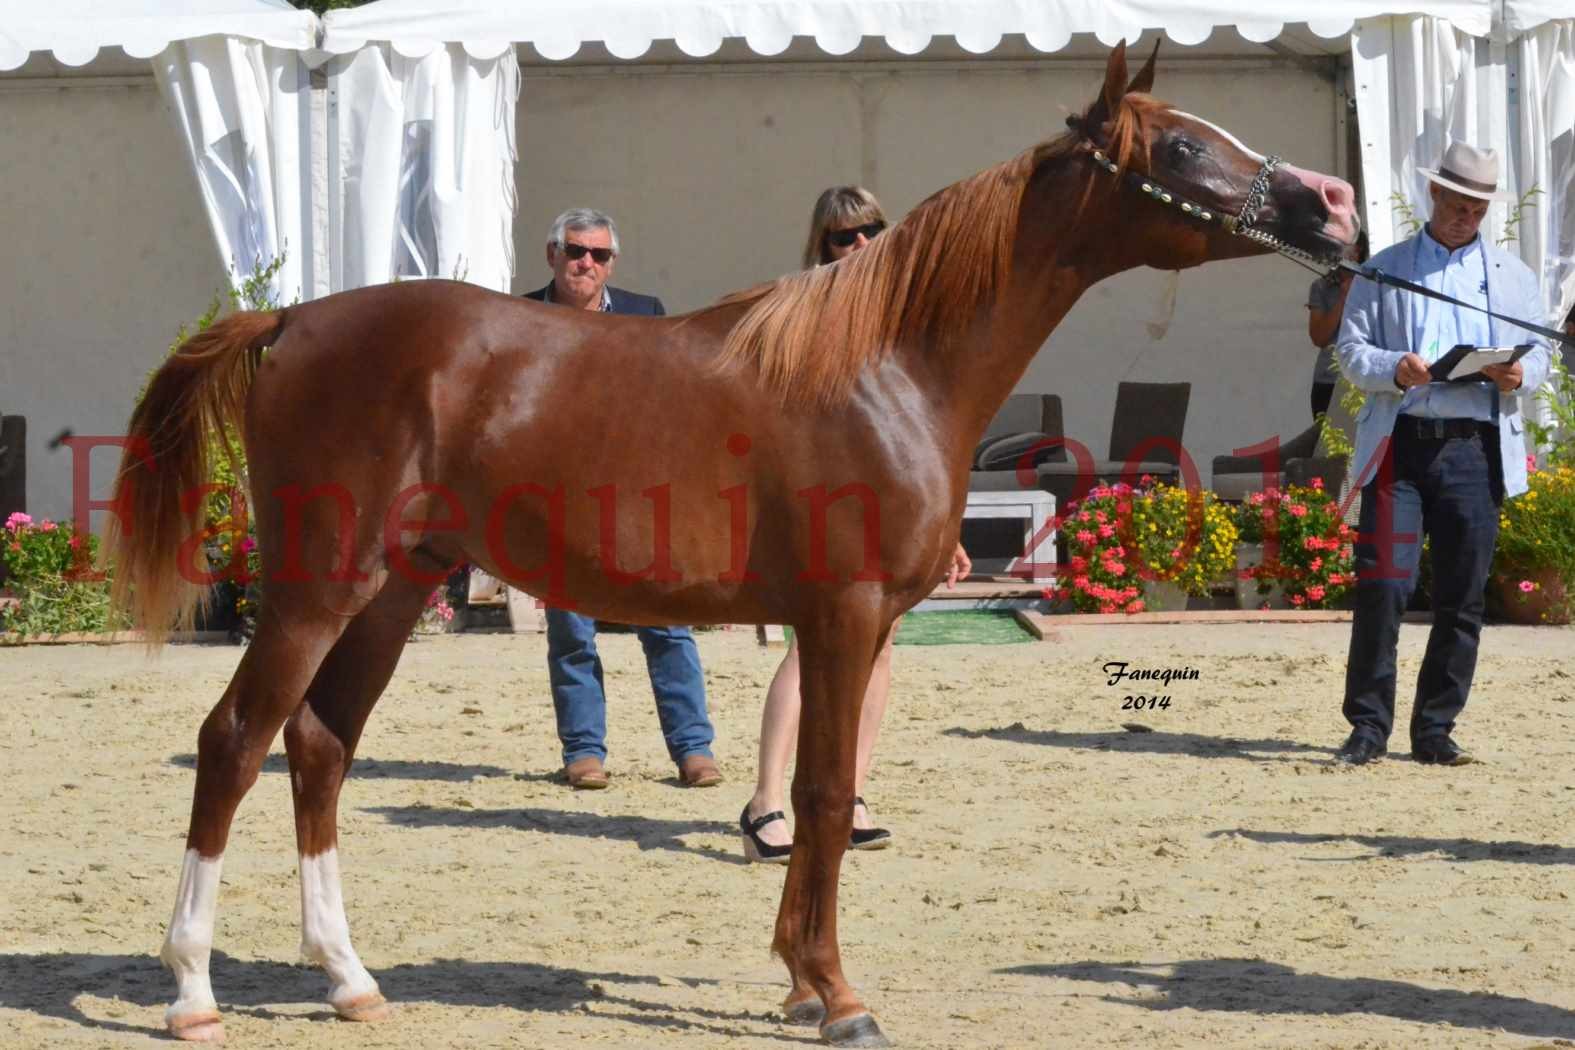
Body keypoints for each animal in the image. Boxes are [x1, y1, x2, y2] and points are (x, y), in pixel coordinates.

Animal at [114, 45, 1354, 1045]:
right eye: (1184, 145)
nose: (1333, 203)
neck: (890, 364)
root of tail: (290, 320)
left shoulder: (844, 624)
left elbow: (817, 791)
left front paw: (801, 984)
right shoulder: (844, 615)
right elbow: (823, 793)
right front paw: (838, 997)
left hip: (390, 591)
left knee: (321, 746)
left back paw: (349, 980)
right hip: (319, 586)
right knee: (235, 740)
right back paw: (193, 992)